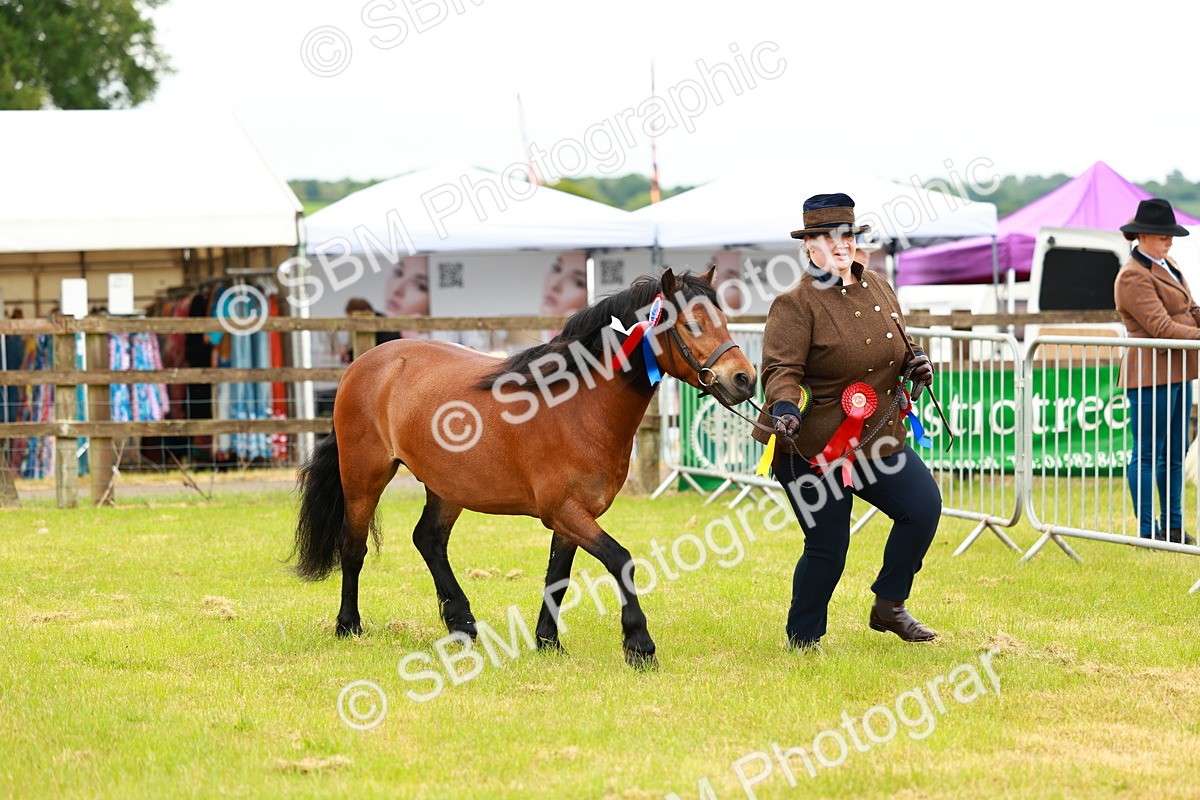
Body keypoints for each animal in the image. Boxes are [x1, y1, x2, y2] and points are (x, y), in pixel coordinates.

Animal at [291, 266, 757, 667]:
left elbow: (558, 576)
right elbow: (620, 560)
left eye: (724, 319)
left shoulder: (573, 517)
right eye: (692, 324)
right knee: (353, 546)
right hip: (364, 476)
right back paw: (349, 626)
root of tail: (365, 363)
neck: (578, 406)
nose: (744, 378)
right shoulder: (565, 512)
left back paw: (462, 623)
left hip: (447, 486)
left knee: (429, 540)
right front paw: (639, 645)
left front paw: (548, 641)